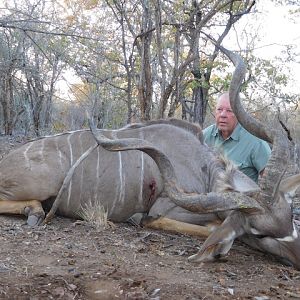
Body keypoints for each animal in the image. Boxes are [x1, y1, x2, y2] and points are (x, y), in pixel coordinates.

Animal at [0, 48, 298, 268]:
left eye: (292, 220)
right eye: (260, 233)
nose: (297, 258)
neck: (205, 170)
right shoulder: (165, 209)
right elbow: (205, 226)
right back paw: (34, 212)